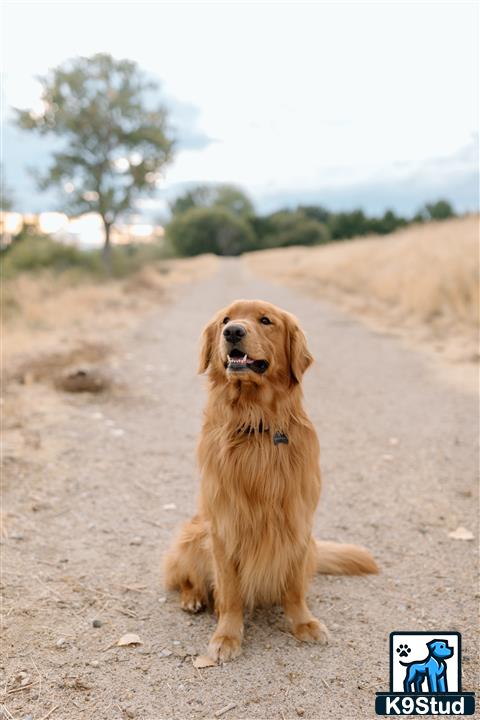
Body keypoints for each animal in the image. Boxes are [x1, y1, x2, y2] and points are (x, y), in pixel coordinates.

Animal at [165, 300, 378, 664]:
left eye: (266, 320)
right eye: (225, 319)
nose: (232, 331)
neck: (257, 424)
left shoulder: (296, 521)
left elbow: (293, 587)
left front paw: (303, 622)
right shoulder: (224, 525)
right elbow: (230, 592)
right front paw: (227, 635)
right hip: (193, 534)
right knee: (185, 577)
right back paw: (192, 597)